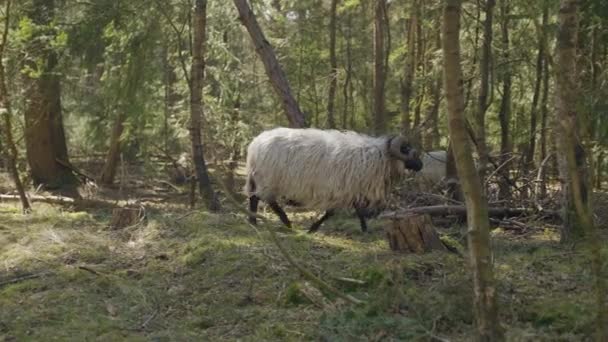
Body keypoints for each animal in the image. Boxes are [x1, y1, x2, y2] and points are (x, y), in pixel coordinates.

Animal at [242, 127, 422, 232]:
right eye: (406, 149)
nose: (420, 165)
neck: (380, 156)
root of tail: (254, 144)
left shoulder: (352, 189)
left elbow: (358, 211)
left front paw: (364, 228)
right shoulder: (341, 190)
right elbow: (331, 212)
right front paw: (313, 228)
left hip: (261, 178)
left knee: (254, 197)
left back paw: (254, 221)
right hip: (268, 179)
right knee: (262, 198)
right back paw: (283, 222)